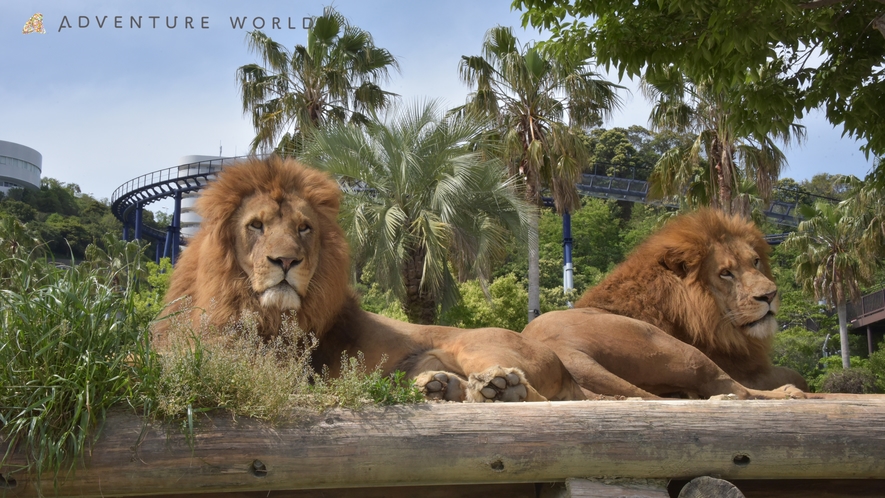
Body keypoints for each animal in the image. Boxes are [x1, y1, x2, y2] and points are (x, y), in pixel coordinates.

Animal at [155, 158, 588, 402]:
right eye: (256, 225)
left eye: (304, 228)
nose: (286, 260)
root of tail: (564, 368)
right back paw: (442, 388)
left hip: (475, 343)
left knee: (539, 398)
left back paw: (499, 388)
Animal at [520, 210, 804, 400]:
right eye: (725, 273)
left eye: (755, 261)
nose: (770, 295)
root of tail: (562, 351)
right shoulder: (739, 366)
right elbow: (791, 372)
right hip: (678, 350)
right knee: (734, 390)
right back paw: (790, 394)